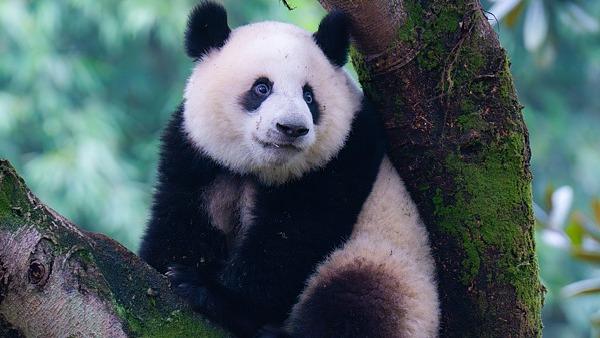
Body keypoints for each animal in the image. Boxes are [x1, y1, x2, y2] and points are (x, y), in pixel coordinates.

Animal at [141, 2, 440, 338]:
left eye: (309, 97)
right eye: (261, 88)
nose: (291, 128)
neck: (261, 168)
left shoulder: (342, 156)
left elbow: (291, 239)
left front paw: (208, 291)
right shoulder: (197, 154)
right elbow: (183, 216)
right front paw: (172, 267)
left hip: (390, 270)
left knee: (356, 300)